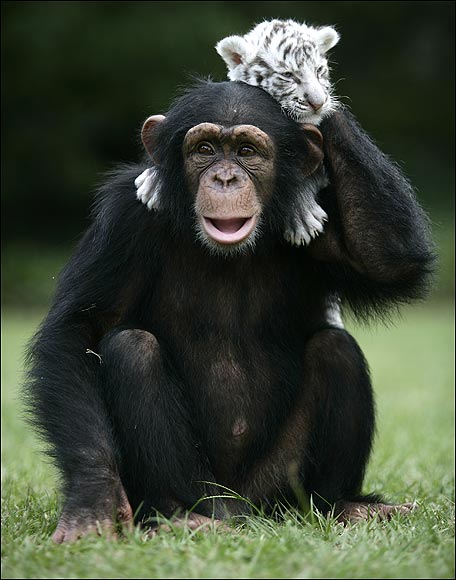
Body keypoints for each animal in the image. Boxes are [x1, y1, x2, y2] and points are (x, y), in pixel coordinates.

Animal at [25, 79, 434, 540]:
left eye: (246, 151)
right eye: (204, 149)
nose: (224, 177)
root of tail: (241, 509)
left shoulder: (317, 212)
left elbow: (386, 261)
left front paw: (310, 93)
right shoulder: (124, 216)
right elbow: (78, 328)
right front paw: (93, 497)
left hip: (276, 486)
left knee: (336, 349)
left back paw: (342, 505)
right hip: (205, 487)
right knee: (132, 348)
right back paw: (178, 514)